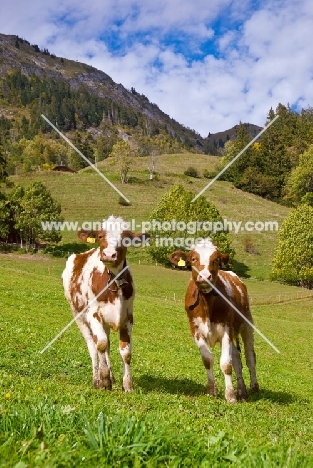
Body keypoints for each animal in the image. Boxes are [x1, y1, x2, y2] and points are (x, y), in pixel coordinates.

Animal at [62, 216, 149, 392]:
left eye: (126, 238)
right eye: (100, 236)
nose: (109, 254)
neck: (113, 282)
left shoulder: (128, 317)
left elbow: (125, 352)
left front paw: (127, 385)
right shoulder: (94, 314)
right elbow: (100, 345)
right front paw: (103, 381)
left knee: (107, 344)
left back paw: (112, 376)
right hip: (78, 315)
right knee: (92, 345)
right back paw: (97, 378)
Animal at [168, 239, 258, 404]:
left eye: (216, 260)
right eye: (193, 259)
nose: (205, 277)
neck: (206, 303)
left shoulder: (227, 329)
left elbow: (226, 364)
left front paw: (230, 395)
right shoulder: (195, 330)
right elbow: (208, 360)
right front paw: (211, 390)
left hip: (246, 324)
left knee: (249, 357)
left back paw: (254, 387)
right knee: (237, 359)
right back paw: (242, 391)